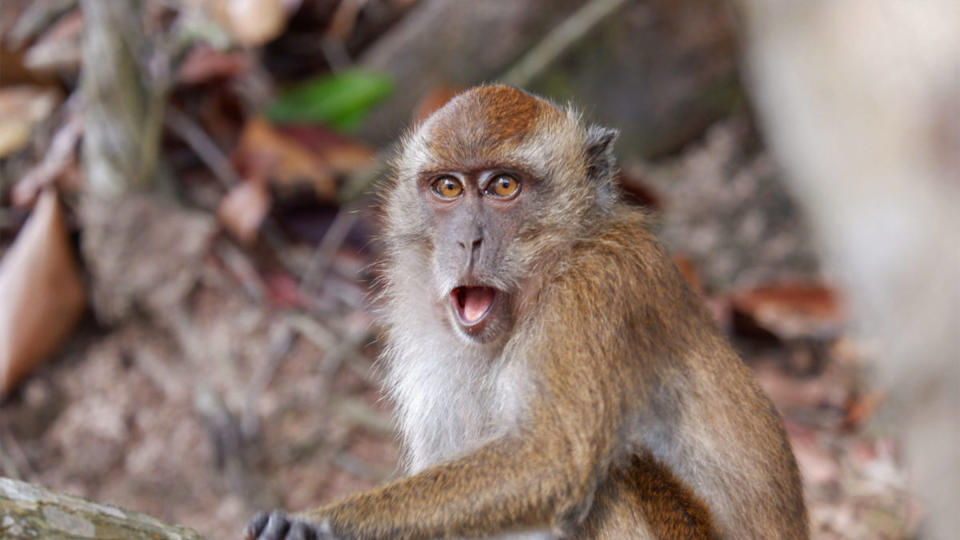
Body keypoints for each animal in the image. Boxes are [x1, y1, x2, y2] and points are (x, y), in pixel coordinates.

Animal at [244, 84, 808, 540]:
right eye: (448, 187)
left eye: (503, 186)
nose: (468, 241)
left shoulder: (594, 291)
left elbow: (555, 457)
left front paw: (322, 523)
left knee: (613, 482)